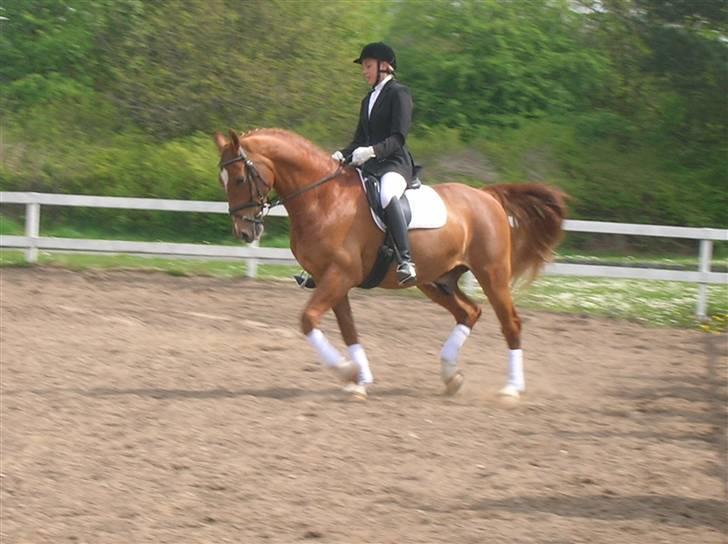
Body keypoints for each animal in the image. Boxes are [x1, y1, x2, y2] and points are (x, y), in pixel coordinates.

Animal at [213, 127, 564, 400]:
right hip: (436, 280)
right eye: (223, 180)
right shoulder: (331, 279)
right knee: (469, 312)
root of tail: (487, 195)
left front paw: (345, 370)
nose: (244, 232)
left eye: (240, 178)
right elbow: (349, 330)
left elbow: (308, 319)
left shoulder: (340, 275)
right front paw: (359, 380)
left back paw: (510, 390)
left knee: (510, 323)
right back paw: (451, 377)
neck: (323, 199)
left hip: (492, 274)